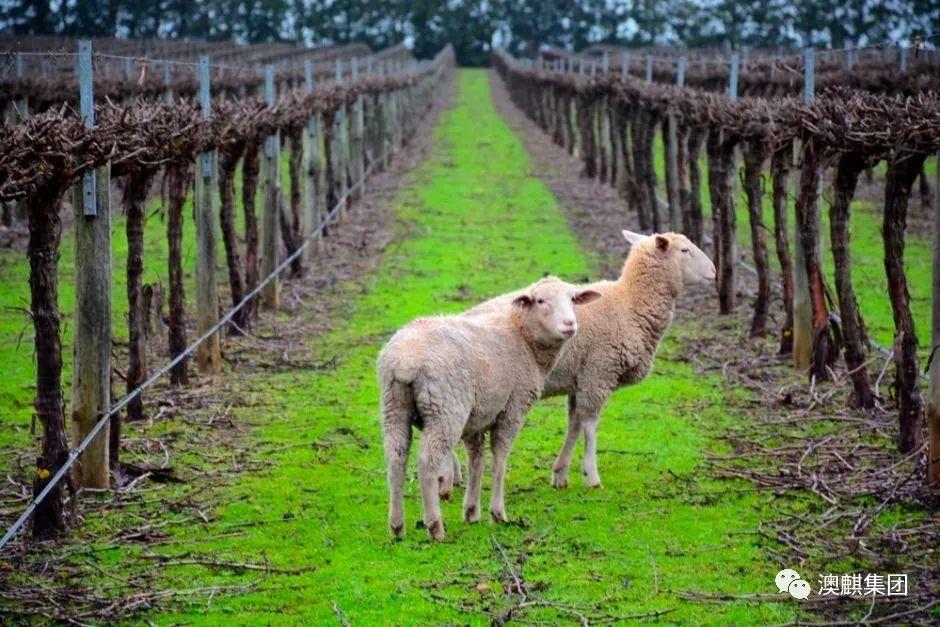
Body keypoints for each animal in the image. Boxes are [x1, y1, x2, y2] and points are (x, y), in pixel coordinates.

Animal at [380, 278, 604, 544]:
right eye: (540, 301)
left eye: (572, 299)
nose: (570, 324)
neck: (521, 337)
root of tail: (405, 361)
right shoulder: (513, 408)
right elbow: (500, 458)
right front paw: (497, 513)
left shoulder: (476, 418)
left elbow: (476, 460)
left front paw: (471, 512)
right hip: (446, 409)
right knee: (427, 461)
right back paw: (435, 526)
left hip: (394, 406)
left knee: (396, 456)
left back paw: (396, 526)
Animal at [466, 231, 716, 490]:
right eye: (685, 250)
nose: (714, 270)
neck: (631, 304)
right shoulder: (599, 372)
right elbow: (590, 425)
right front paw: (592, 475)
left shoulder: (581, 379)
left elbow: (574, 424)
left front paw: (560, 473)